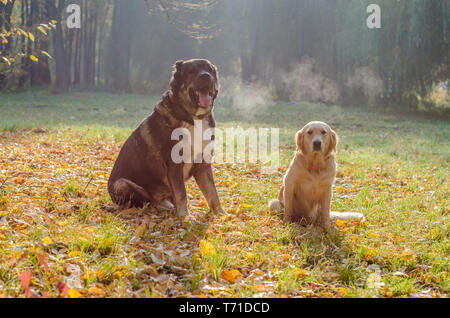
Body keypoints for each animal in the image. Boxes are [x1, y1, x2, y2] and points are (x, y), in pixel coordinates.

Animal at [107, 58, 223, 217]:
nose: (206, 76)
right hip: (123, 184)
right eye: (192, 71)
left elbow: (213, 193)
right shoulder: (174, 164)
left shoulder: (203, 165)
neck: (192, 117)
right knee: (150, 202)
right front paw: (184, 217)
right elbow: (181, 193)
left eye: (210, 69)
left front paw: (222, 215)